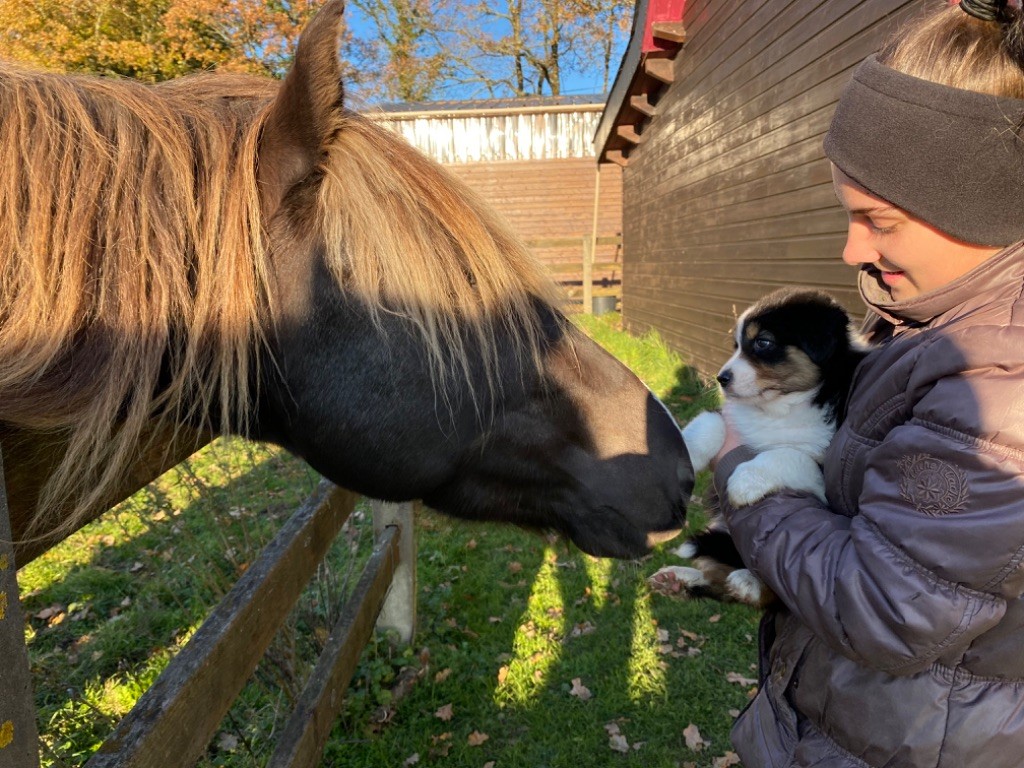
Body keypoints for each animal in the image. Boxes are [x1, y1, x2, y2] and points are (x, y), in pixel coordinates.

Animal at [647, 288, 864, 606]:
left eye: (763, 342)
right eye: (737, 346)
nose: (721, 379)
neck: (780, 407)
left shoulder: (822, 475)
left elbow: (788, 454)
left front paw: (744, 482)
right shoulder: (730, 416)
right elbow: (710, 423)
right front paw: (681, 457)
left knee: (763, 590)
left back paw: (748, 583)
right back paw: (679, 579)